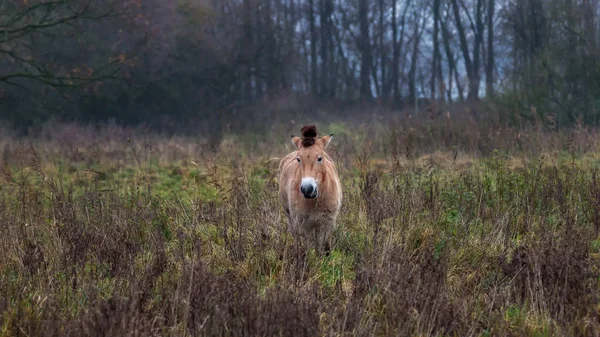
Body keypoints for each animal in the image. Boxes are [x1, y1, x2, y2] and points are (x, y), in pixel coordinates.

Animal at [278, 124, 342, 253]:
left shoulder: (326, 224)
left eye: (320, 158)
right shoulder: (303, 225)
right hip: (290, 217)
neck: (314, 201)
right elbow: (308, 249)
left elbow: (322, 248)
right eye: (298, 159)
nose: (307, 189)